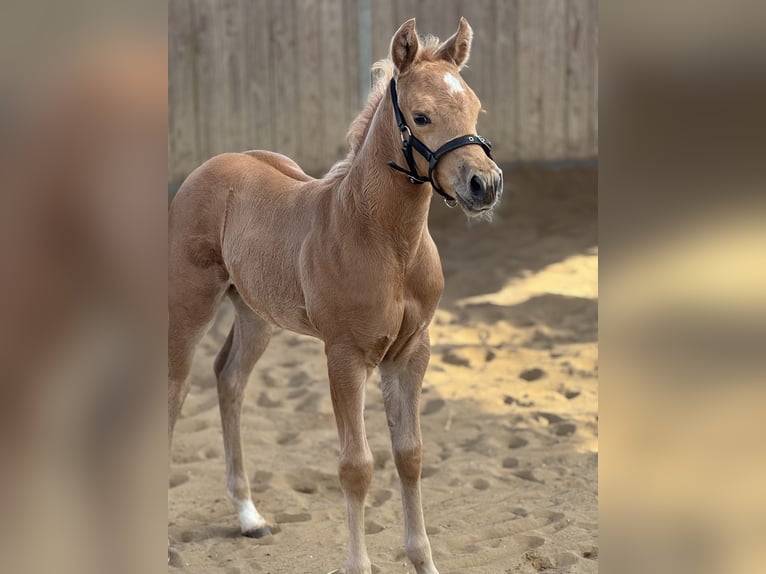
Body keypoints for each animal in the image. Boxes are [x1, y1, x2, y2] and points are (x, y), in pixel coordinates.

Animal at [168, 18, 502, 574]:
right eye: (421, 116)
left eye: (474, 107)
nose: (486, 184)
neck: (386, 243)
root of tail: (212, 164)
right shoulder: (344, 355)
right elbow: (357, 466)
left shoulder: (411, 352)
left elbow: (410, 454)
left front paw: (424, 561)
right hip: (190, 304)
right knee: (174, 394)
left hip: (255, 312)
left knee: (229, 380)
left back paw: (249, 515)